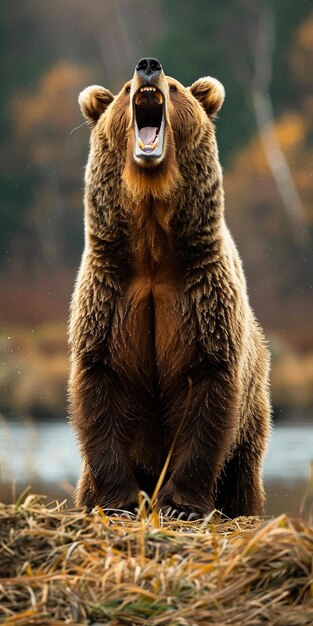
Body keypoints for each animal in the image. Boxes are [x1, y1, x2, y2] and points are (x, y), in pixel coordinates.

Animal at [69, 57, 270, 516]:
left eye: (176, 87)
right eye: (125, 89)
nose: (148, 67)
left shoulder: (203, 297)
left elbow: (209, 394)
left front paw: (181, 505)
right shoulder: (108, 296)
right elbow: (99, 390)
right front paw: (118, 501)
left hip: (254, 415)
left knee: (243, 474)